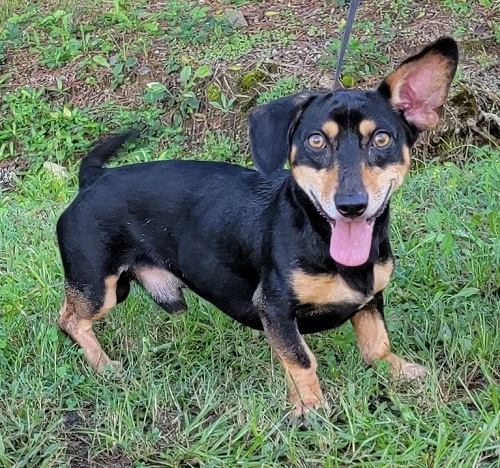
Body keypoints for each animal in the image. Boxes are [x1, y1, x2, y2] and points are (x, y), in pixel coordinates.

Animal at [57, 37, 458, 416]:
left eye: (381, 138)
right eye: (315, 140)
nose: (351, 206)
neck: (320, 236)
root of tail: (94, 179)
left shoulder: (371, 299)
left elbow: (377, 344)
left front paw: (400, 372)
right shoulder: (274, 308)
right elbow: (301, 360)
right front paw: (311, 408)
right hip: (99, 288)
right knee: (70, 320)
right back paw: (103, 364)